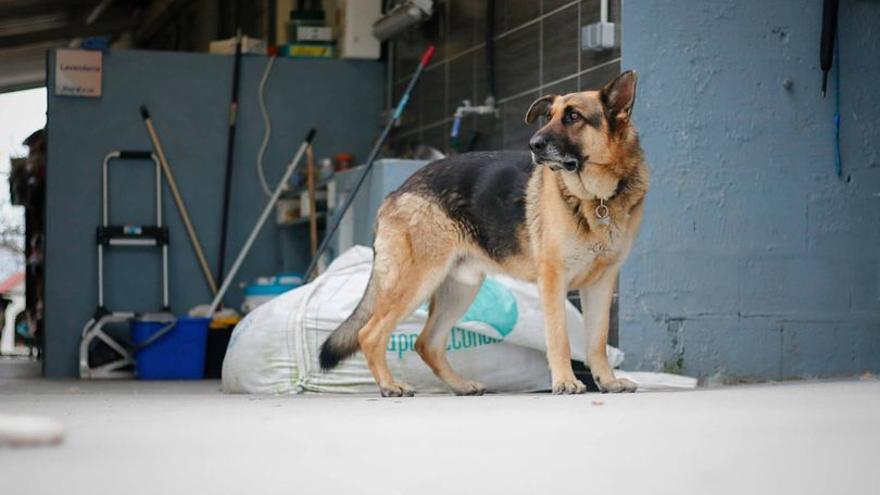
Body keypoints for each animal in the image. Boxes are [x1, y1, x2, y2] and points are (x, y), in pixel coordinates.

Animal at [320, 71, 648, 398]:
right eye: (549, 116)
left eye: (573, 116)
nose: (533, 144)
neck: (598, 197)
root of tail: (397, 190)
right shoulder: (553, 280)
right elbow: (559, 338)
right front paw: (565, 381)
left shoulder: (601, 284)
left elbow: (597, 342)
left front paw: (607, 381)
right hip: (416, 281)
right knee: (370, 333)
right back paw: (390, 385)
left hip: (460, 289)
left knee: (427, 343)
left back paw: (460, 385)